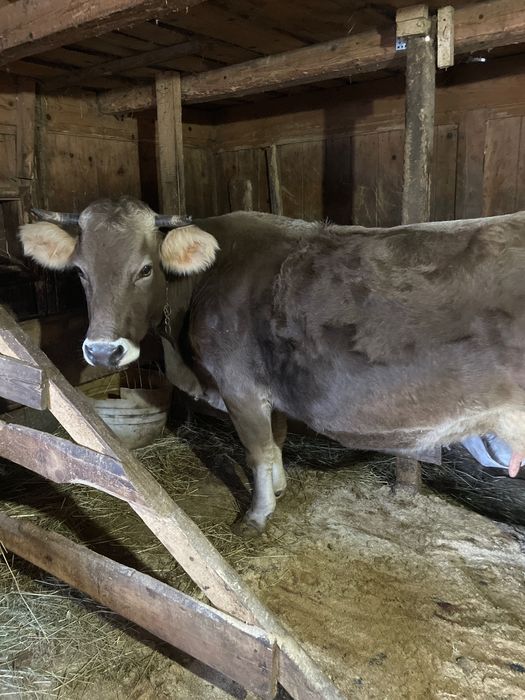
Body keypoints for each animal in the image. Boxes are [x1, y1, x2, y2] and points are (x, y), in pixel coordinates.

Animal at [19, 196, 525, 532]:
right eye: (80, 272)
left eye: (145, 269)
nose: (103, 352)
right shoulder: (269, 389)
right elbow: (277, 439)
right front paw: (280, 488)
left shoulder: (239, 386)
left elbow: (257, 450)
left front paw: (257, 514)